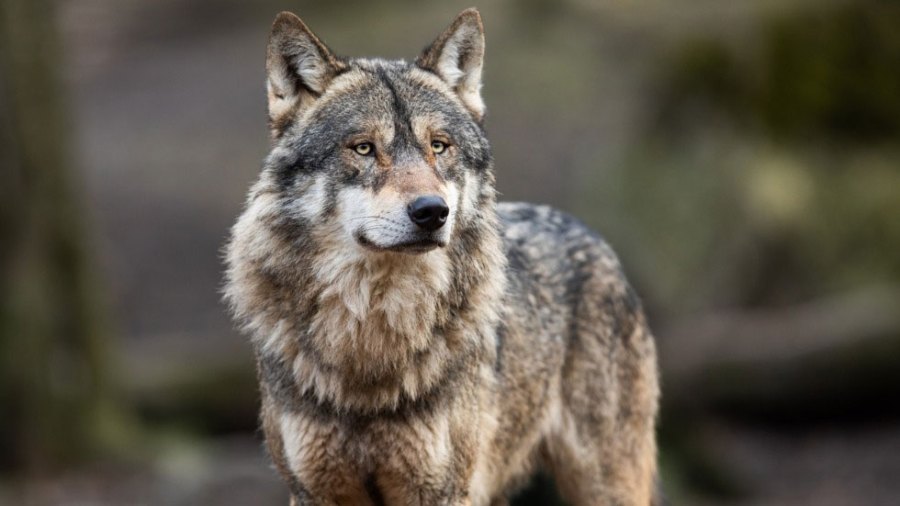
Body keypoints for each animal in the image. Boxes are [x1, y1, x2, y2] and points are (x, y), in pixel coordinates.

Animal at [225, 7, 660, 506]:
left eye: (439, 146)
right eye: (363, 148)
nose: (432, 212)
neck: (371, 342)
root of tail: (588, 232)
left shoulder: (442, 489)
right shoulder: (313, 490)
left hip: (604, 483)